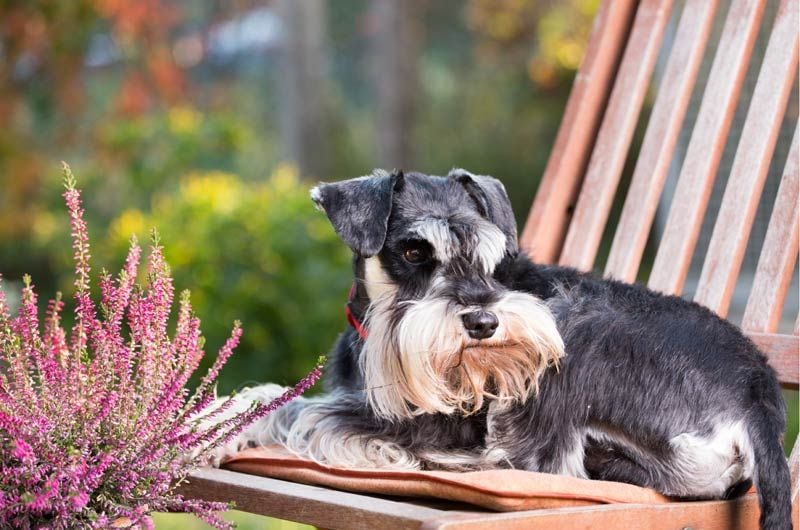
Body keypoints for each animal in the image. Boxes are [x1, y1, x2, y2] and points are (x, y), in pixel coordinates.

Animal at [214, 167, 792, 524]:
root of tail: (759, 396)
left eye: (491, 253)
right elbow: (285, 397)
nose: (484, 321)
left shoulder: (430, 421)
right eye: (414, 250)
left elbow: (305, 413)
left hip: (577, 334)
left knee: (541, 463)